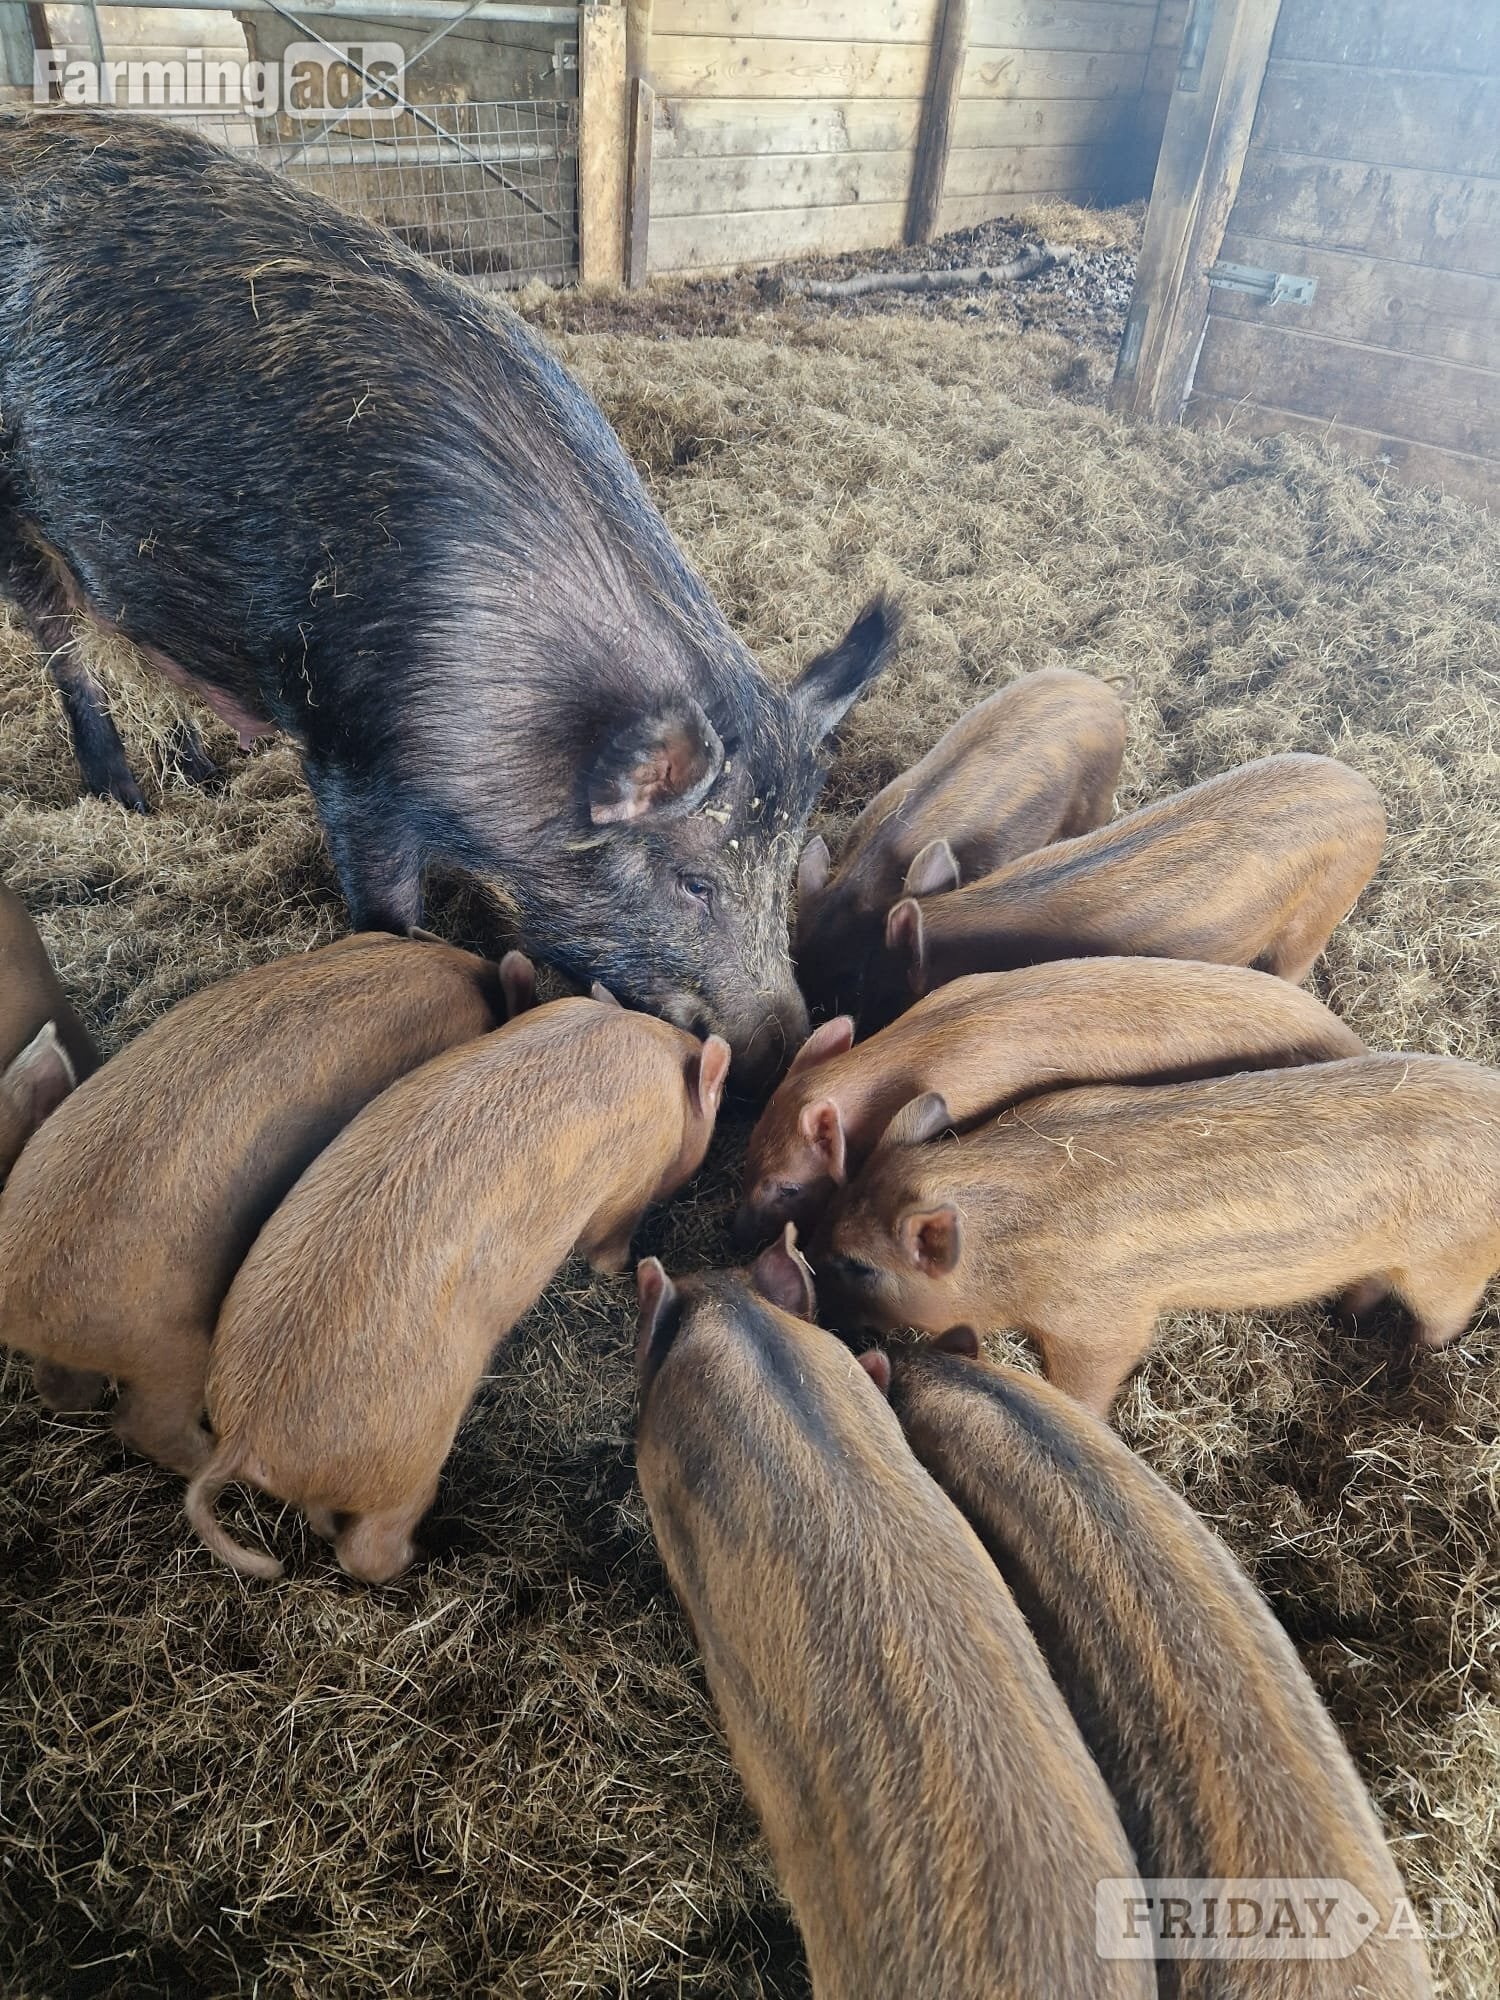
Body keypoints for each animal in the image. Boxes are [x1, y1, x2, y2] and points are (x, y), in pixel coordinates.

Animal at [0, 114, 896, 1092]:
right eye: (695, 882)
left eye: (783, 872)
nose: (793, 1037)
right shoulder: (352, 755)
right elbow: (387, 907)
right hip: (16, 515)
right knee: (62, 641)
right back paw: (122, 796)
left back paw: (195, 771)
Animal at [187, 997, 730, 1583]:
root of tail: (244, 1434)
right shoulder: (627, 1188)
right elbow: (607, 1245)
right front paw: (624, 1268)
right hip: (410, 1456)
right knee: (366, 1549)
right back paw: (425, 1555)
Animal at [814, 1053, 1500, 1415]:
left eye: (860, 1264)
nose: (818, 1302)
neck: (1005, 1245)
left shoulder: (1103, 1322)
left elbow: (1090, 1378)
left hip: (1448, 1263)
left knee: (1445, 1317)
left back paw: (1410, 1359)